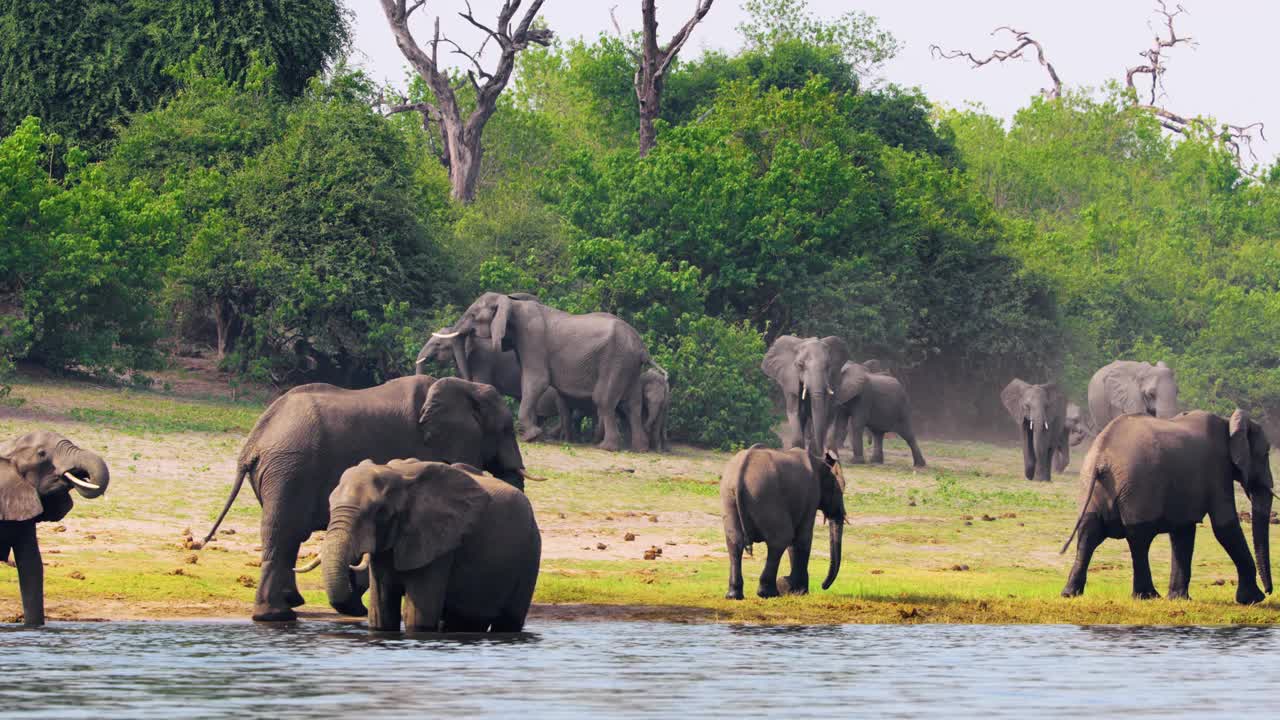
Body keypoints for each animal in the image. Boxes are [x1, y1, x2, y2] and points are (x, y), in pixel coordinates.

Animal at [202, 371, 532, 620]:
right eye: (505, 429)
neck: (462, 386)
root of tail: (254, 439)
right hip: (290, 466)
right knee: (283, 533)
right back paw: (277, 615)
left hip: (279, 470)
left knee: (286, 535)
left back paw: (290, 604)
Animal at [322, 456, 542, 630]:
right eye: (330, 505)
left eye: (379, 511)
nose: (360, 608)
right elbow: (380, 616)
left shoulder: (439, 542)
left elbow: (417, 617)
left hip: (531, 550)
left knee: (508, 622)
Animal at [424, 292, 655, 448]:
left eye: (473, 314)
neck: (511, 303)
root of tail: (641, 347)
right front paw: (533, 434)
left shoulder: (532, 338)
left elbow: (536, 381)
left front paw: (532, 436)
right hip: (629, 365)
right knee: (633, 403)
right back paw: (639, 448)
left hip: (615, 360)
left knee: (604, 400)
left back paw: (606, 447)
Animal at [727, 445, 844, 597]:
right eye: (840, 490)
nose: (823, 585)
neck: (820, 461)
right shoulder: (811, 496)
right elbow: (802, 538)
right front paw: (798, 591)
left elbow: (795, 541)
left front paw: (793, 589)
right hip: (766, 495)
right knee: (780, 540)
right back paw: (769, 593)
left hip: (729, 497)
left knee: (734, 542)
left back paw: (734, 596)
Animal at [1059, 407, 1269, 602]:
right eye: (1266, 453)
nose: (1269, 591)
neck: (1228, 422)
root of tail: (1100, 458)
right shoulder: (1219, 468)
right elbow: (1225, 526)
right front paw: (1253, 599)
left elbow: (1183, 531)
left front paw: (1179, 599)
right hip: (1139, 486)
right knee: (1138, 537)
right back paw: (1147, 596)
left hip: (1091, 484)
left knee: (1088, 533)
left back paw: (1070, 594)